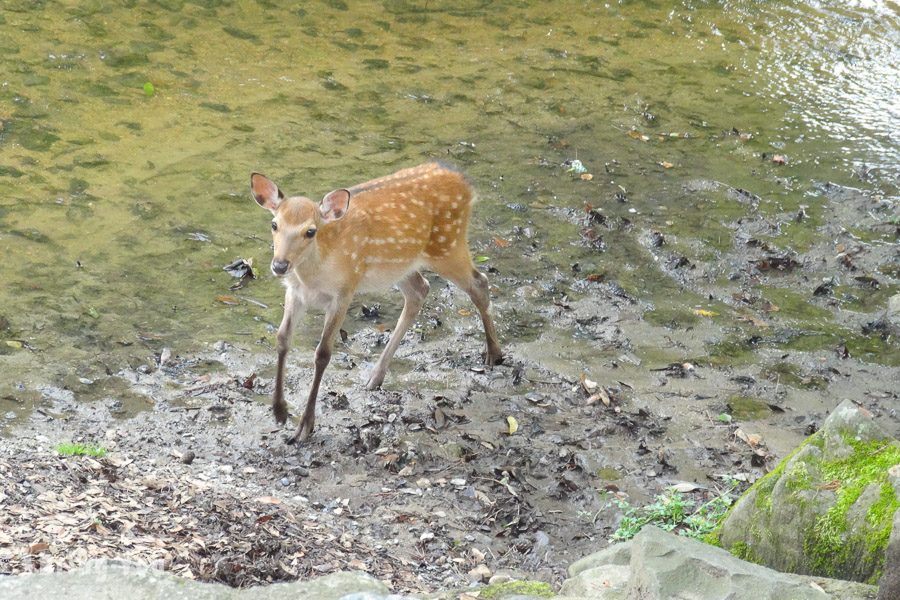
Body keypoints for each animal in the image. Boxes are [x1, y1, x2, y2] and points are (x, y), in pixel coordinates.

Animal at [250, 162, 502, 442]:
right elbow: (282, 339)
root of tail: (465, 182)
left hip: (448, 245)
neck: (314, 276)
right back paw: (376, 376)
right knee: (420, 290)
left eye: (310, 231)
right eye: (274, 224)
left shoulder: (345, 290)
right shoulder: (295, 292)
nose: (280, 265)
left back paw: (494, 353)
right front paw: (279, 411)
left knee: (479, 283)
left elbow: (323, 353)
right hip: (401, 265)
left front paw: (305, 425)